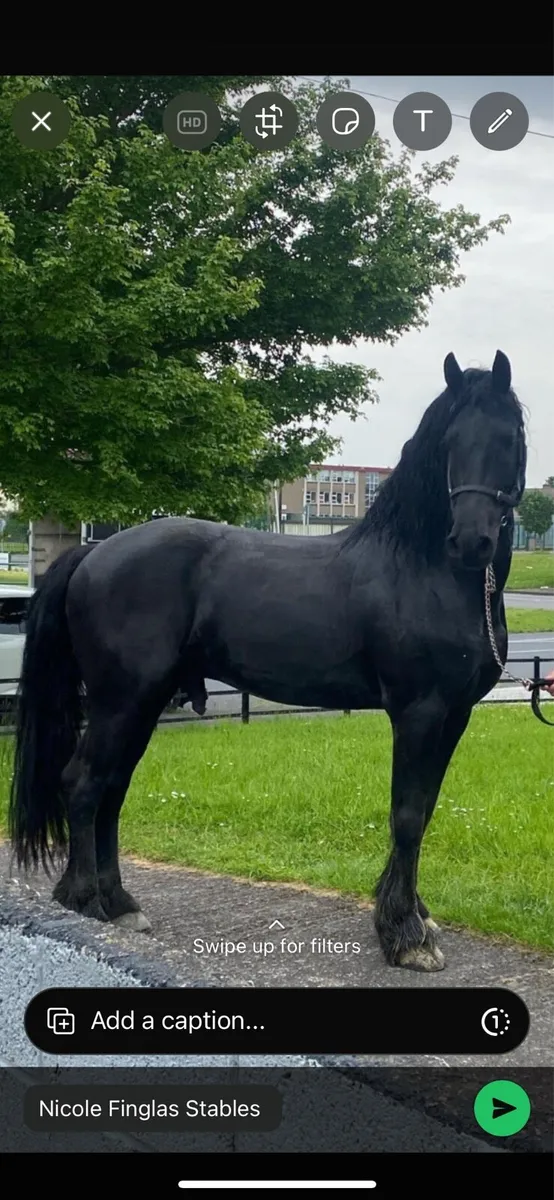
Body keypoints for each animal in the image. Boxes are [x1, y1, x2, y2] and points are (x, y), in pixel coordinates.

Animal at [8, 349, 526, 972]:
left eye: (510, 435)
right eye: (450, 440)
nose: (470, 542)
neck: (426, 571)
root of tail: (94, 551)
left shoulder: (456, 714)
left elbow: (423, 811)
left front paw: (417, 918)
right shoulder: (419, 712)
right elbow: (405, 815)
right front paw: (405, 936)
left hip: (141, 704)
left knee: (111, 788)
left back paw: (119, 902)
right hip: (120, 701)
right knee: (84, 782)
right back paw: (88, 901)